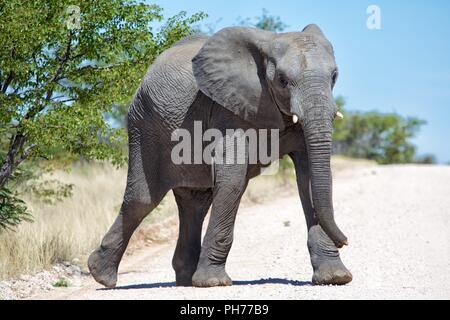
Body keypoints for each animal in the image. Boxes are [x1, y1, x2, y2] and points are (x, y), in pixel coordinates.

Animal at [88, 24, 354, 288]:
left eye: (334, 76)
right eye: (282, 80)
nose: (345, 240)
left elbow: (309, 178)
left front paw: (335, 278)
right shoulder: (228, 107)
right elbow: (233, 179)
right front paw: (213, 282)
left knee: (196, 202)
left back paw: (185, 279)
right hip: (143, 123)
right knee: (142, 199)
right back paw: (101, 274)